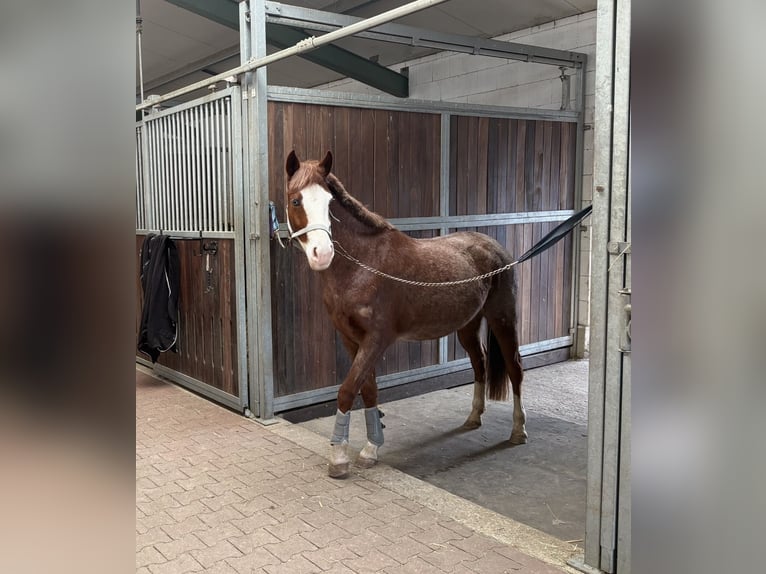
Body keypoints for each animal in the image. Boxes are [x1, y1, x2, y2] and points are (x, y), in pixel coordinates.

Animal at [283, 150, 527, 478]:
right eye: (296, 200)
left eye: (329, 202)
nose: (322, 254)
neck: (363, 266)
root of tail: (494, 247)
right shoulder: (350, 338)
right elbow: (368, 390)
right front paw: (371, 449)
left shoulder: (377, 339)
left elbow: (348, 390)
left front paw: (339, 459)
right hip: (467, 325)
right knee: (480, 364)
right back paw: (473, 417)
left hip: (503, 319)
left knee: (515, 368)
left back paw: (518, 431)